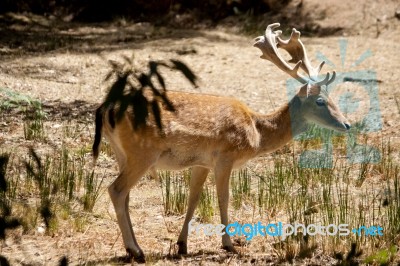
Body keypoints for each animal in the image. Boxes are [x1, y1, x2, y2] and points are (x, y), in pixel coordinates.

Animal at [93, 22, 350, 262]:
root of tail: (105, 108)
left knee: (125, 195)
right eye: (319, 101)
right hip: (142, 153)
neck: (256, 132)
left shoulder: (201, 162)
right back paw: (135, 250)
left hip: (122, 153)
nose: (347, 124)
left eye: (332, 98)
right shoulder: (225, 156)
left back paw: (134, 248)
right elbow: (224, 198)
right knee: (116, 190)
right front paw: (229, 245)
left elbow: (193, 198)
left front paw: (182, 245)